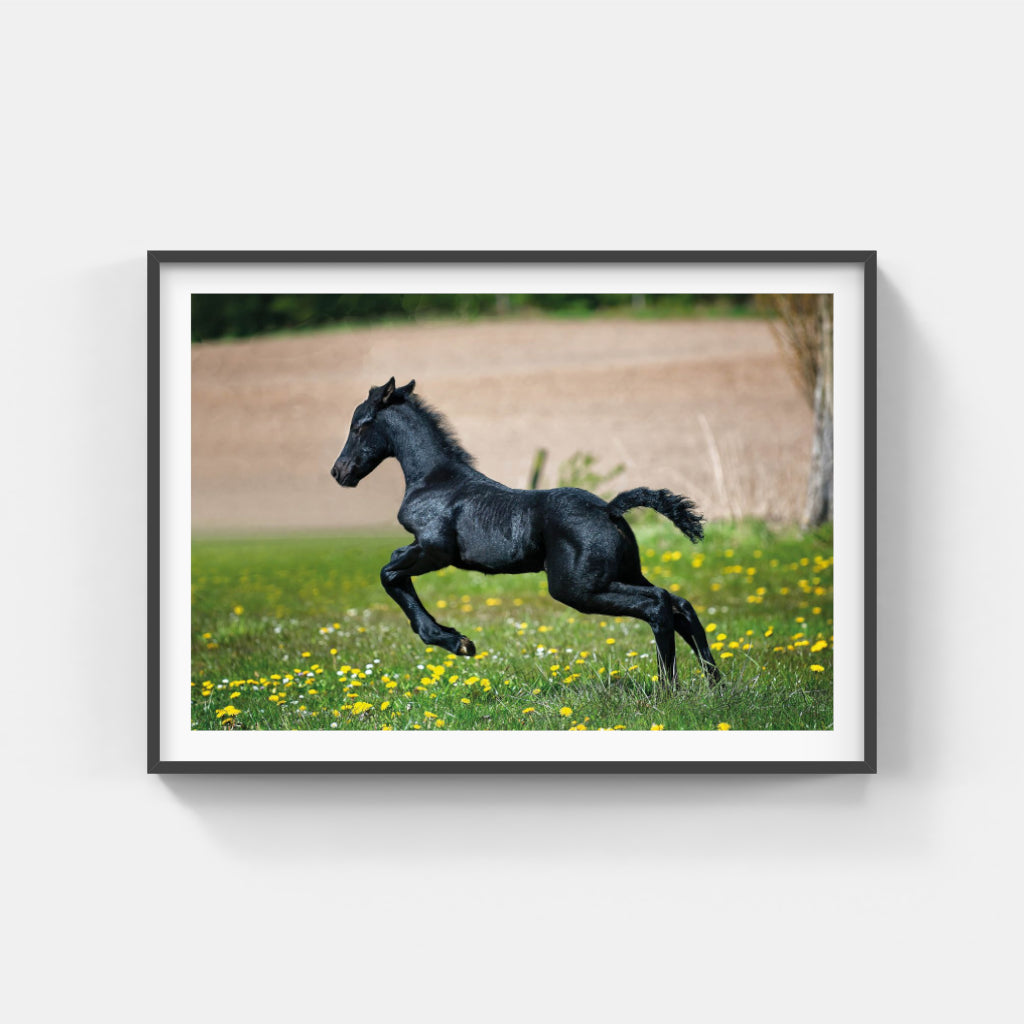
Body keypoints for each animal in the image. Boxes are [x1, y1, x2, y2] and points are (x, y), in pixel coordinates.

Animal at [330, 378, 720, 685]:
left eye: (358, 426)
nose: (339, 472)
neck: (435, 480)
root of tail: (610, 509)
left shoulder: (435, 550)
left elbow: (389, 572)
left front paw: (457, 642)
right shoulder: (422, 549)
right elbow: (394, 569)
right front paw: (455, 638)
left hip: (578, 588)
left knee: (658, 604)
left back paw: (668, 687)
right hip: (622, 573)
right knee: (680, 603)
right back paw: (715, 683)